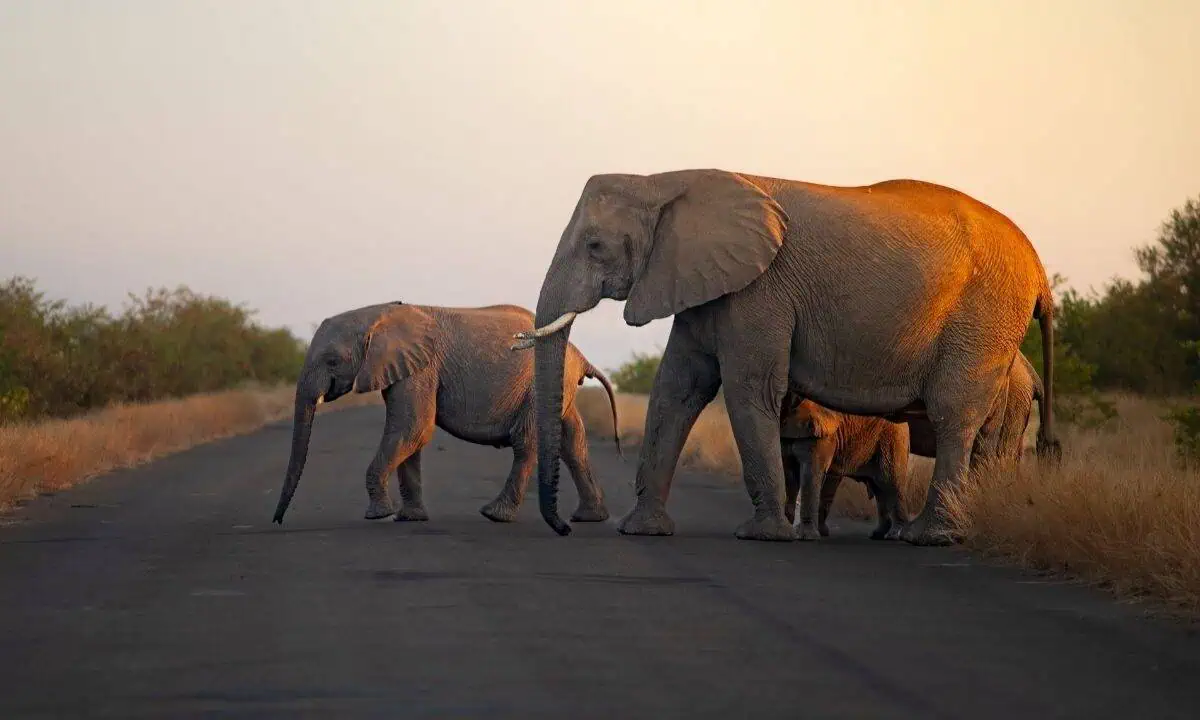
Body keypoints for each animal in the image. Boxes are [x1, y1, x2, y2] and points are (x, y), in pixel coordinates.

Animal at [271, 301, 620, 526]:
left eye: (332, 361)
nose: (277, 521)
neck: (376, 313)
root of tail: (579, 355)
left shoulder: (422, 366)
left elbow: (415, 427)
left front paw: (380, 515)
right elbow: (410, 435)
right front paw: (410, 518)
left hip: (537, 386)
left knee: (528, 442)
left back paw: (495, 515)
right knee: (572, 441)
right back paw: (590, 518)